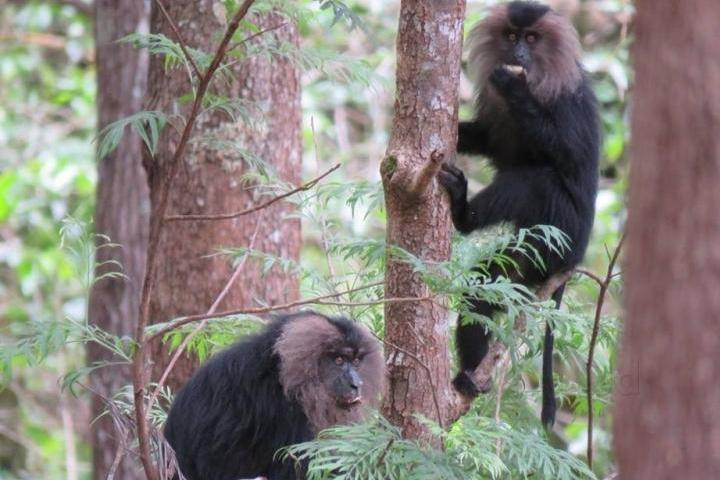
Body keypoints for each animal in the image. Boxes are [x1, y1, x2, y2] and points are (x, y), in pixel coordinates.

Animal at [438, 0, 600, 428]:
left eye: (531, 38)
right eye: (511, 36)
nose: (518, 54)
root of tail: (573, 259)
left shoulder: (568, 101)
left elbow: (567, 157)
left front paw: (514, 87)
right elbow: (495, 142)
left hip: (558, 233)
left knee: (537, 179)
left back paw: (463, 214)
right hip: (532, 259)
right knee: (484, 288)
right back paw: (470, 374)